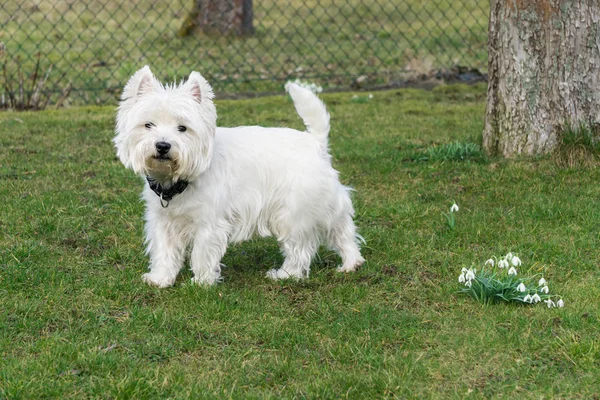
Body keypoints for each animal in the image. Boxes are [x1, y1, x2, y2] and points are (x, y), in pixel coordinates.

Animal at [114, 65, 364, 286]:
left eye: (182, 128)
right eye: (148, 125)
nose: (163, 146)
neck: (178, 182)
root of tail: (315, 143)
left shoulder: (209, 223)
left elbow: (202, 253)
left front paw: (201, 282)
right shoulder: (163, 221)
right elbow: (164, 251)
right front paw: (160, 279)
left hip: (291, 213)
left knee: (299, 249)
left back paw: (284, 274)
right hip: (328, 205)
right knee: (343, 230)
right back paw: (351, 263)